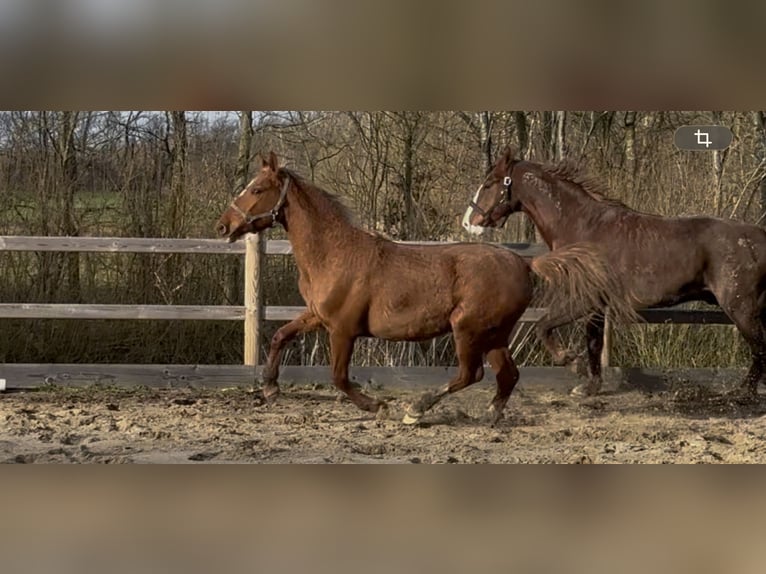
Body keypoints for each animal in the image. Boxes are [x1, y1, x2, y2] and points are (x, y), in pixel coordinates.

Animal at [216, 151, 633, 424]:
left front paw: (378, 406)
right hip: (494, 333)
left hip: (467, 329)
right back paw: (491, 414)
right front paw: (270, 388)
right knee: (507, 374)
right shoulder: (319, 317)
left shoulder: (343, 330)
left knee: (471, 375)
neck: (333, 253)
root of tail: (524, 262)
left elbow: (338, 377)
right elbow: (279, 336)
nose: (224, 226)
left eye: (257, 188)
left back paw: (416, 410)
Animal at [462, 146, 766, 398]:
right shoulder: (597, 306)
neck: (583, 227)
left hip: (741, 308)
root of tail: (759, 236)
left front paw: (572, 364)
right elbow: (593, 343)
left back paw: (742, 394)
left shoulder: (584, 300)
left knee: (759, 348)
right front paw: (590, 386)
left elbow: (543, 326)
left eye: (488, 184)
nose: (469, 222)